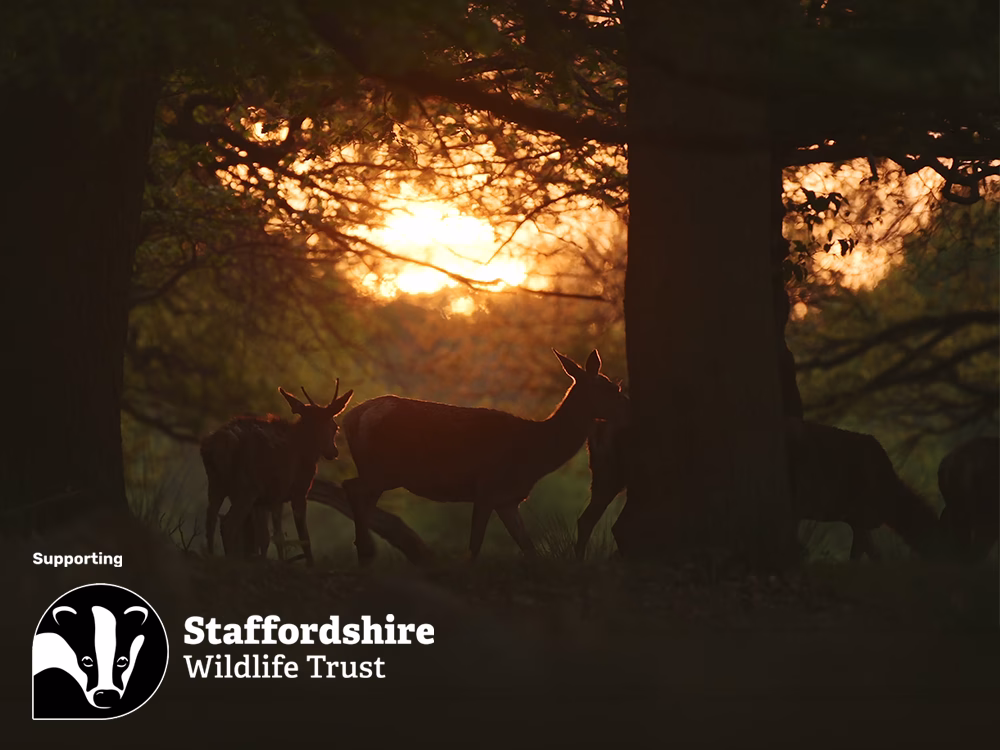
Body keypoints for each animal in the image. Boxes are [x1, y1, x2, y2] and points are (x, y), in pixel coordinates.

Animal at [199, 380, 354, 566]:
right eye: (336, 427)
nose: (333, 451)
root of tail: (219, 443)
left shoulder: (266, 499)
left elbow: (266, 537)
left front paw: (265, 560)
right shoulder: (294, 492)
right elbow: (299, 537)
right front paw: (307, 564)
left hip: (217, 484)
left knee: (210, 520)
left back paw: (211, 556)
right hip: (246, 488)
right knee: (228, 524)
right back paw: (230, 562)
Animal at [341, 349, 626, 565]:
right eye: (611, 387)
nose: (628, 405)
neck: (534, 453)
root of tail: (351, 418)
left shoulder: (507, 498)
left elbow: (529, 548)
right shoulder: (487, 487)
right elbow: (474, 547)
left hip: (378, 472)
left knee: (359, 495)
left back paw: (364, 552)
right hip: (382, 469)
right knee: (351, 487)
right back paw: (365, 551)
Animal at [576, 399, 944, 562]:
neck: (889, 498)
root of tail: (598, 427)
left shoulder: (854, 516)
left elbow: (865, 552)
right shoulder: (855, 509)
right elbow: (867, 553)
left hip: (606, 474)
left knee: (590, 519)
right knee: (622, 524)